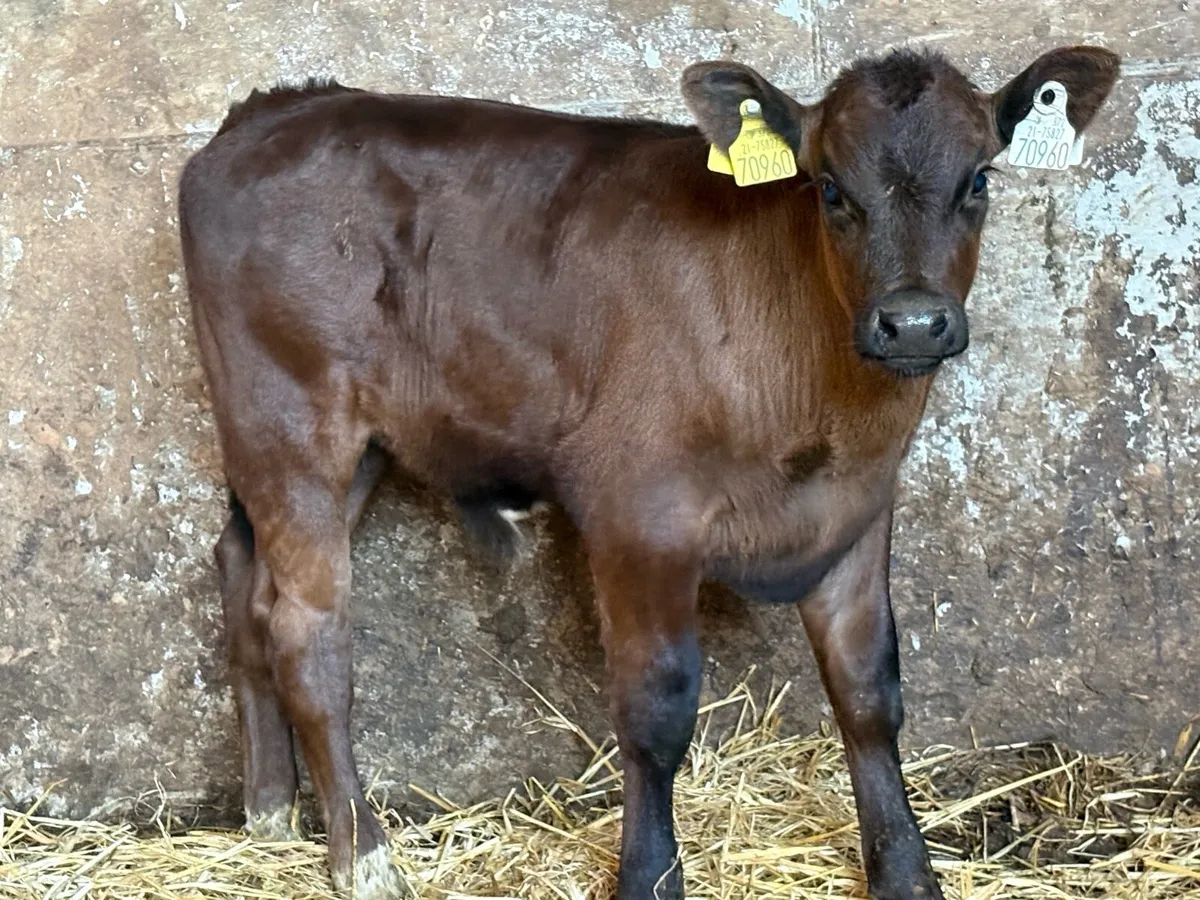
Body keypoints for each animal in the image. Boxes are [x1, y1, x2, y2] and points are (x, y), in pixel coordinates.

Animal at [178, 43, 1118, 900]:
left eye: (980, 181)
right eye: (829, 189)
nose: (914, 322)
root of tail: (269, 111)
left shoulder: (859, 507)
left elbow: (869, 693)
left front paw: (906, 874)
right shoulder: (638, 512)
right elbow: (657, 711)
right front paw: (649, 874)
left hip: (344, 443)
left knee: (243, 576)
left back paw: (269, 810)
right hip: (289, 418)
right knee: (308, 631)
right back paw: (362, 857)